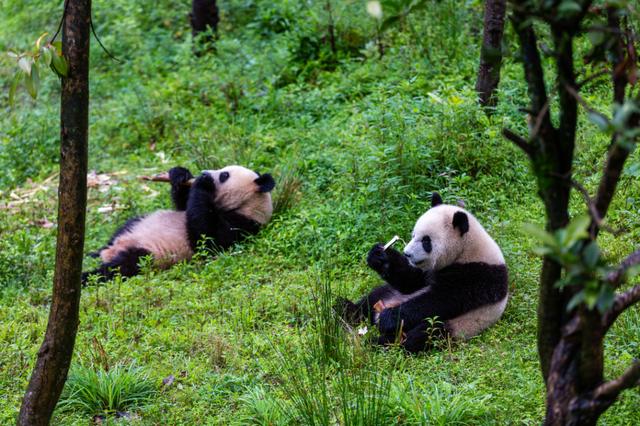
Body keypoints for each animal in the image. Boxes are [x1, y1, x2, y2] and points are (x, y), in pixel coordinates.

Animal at [82, 165, 276, 284]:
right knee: (121, 230)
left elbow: (207, 237)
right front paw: (181, 175)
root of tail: (111, 251)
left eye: (224, 175)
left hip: (149, 254)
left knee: (122, 266)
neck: (247, 206)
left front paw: (203, 183)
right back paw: (92, 253)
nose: (204, 172)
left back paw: (87, 275)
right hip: (137, 223)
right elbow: (184, 205)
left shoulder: (242, 226)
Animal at [338, 193, 508, 352]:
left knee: (423, 334)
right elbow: (412, 282)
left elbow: (439, 300)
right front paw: (380, 257)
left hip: (459, 324)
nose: (407, 254)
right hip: (390, 293)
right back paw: (345, 309)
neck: (467, 249)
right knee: (373, 297)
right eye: (413, 235)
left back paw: (380, 341)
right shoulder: (429, 271)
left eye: (426, 241)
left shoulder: (476, 275)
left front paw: (390, 318)